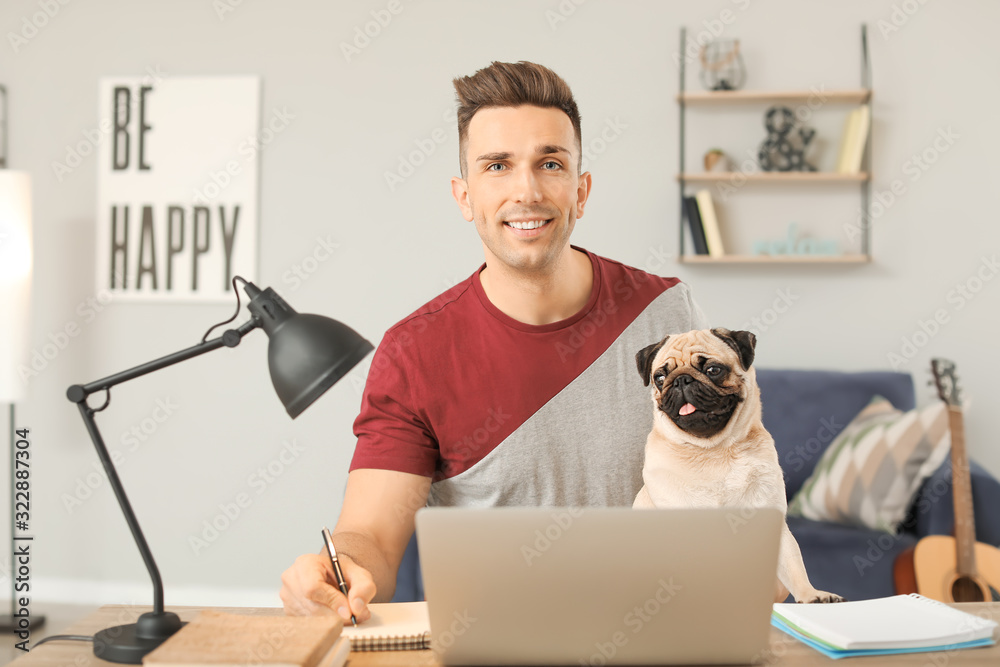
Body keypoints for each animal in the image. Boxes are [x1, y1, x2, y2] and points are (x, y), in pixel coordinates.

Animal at [632, 328, 844, 604]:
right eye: (659, 377)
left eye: (713, 370)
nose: (681, 381)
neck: (714, 451)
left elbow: (793, 565)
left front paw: (812, 595)